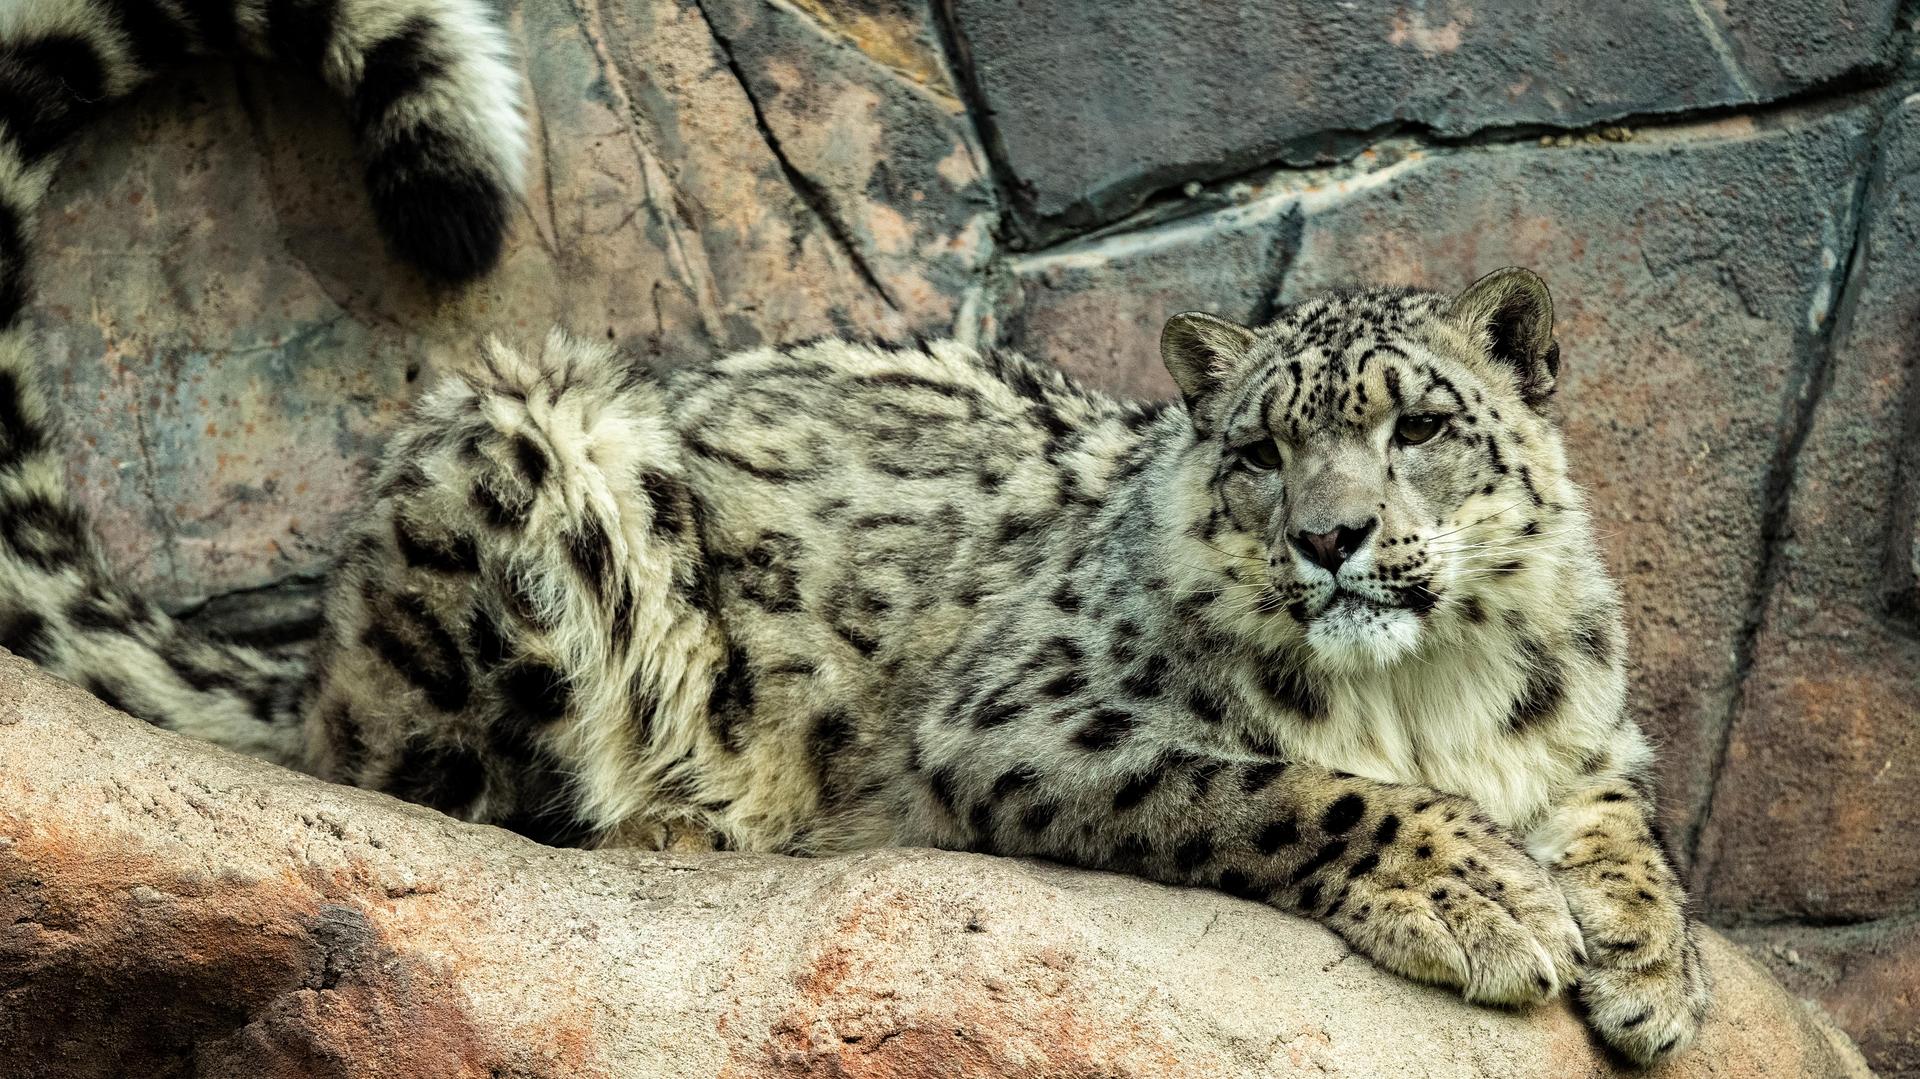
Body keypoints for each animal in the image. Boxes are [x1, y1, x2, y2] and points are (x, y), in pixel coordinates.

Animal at [0, 0, 1712, 1059]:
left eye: (1416, 425)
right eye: (1262, 448)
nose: (1338, 538)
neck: (1428, 694)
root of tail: (327, 639)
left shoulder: (1590, 731)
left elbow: (1629, 816)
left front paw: (1649, 964)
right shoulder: (1035, 720)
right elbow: (1283, 784)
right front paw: (1487, 896)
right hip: (529, 459)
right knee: (419, 779)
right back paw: (682, 816)